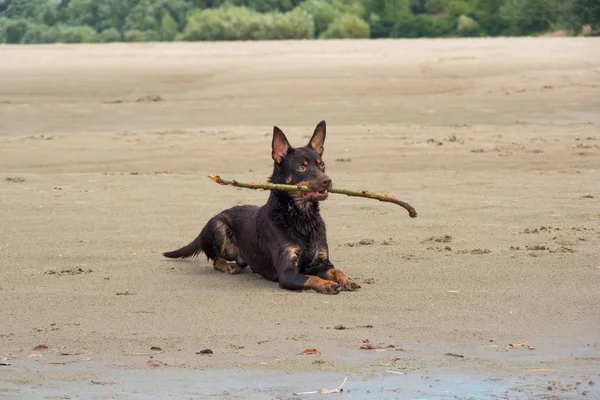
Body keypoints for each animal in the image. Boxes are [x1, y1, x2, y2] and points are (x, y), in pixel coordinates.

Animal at [164, 119, 358, 294]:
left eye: (321, 165)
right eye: (301, 168)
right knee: (215, 259)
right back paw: (227, 266)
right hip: (219, 227)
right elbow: (311, 277)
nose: (328, 181)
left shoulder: (321, 263)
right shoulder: (287, 273)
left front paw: (346, 280)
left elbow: (337, 270)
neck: (301, 217)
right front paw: (327, 284)